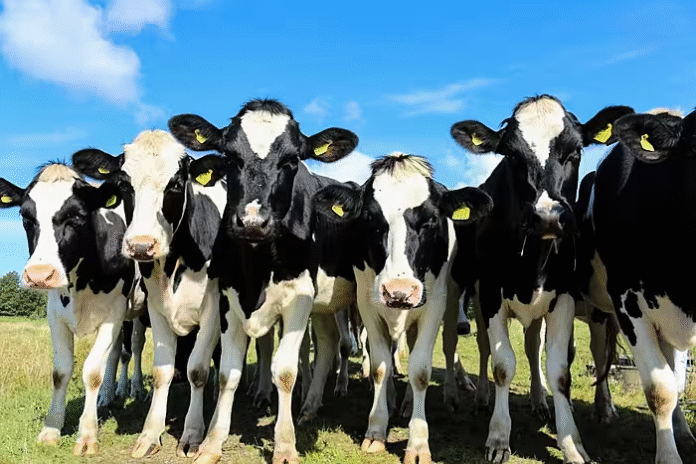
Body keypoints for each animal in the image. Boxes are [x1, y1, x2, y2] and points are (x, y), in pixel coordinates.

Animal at [0, 163, 138, 456]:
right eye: (26, 217)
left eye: (76, 216)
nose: (39, 275)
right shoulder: (55, 315)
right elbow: (60, 372)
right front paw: (51, 429)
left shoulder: (115, 312)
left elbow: (92, 371)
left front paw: (87, 434)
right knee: (115, 354)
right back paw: (107, 396)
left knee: (130, 349)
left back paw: (131, 389)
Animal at [71, 129, 227, 458]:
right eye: (124, 185)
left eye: (176, 184)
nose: (141, 246)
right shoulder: (156, 308)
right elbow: (161, 372)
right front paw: (150, 434)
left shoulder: (213, 310)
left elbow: (197, 369)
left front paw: (192, 434)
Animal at [167, 98, 358, 464]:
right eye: (229, 156)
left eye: (292, 160)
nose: (253, 222)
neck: (256, 270)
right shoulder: (228, 299)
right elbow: (228, 373)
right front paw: (212, 443)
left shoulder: (299, 299)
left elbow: (284, 372)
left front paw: (284, 445)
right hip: (325, 305)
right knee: (328, 342)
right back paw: (310, 405)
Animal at [313, 152, 493, 464]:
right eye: (370, 219)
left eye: (431, 219)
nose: (399, 291)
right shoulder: (367, 305)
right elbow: (380, 367)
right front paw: (376, 430)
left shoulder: (433, 305)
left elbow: (419, 370)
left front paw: (418, 443)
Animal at [450, 94, 634, 463]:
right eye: (511, 156)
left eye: (576, 151)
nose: (548, 217)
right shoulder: (490, 293)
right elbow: (502, 364)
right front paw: (498, 437)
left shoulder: (562, 296)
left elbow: (559, 369)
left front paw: (572, 444)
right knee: (485, 347)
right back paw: (482, 398)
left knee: (539, 347)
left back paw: (546, 402)